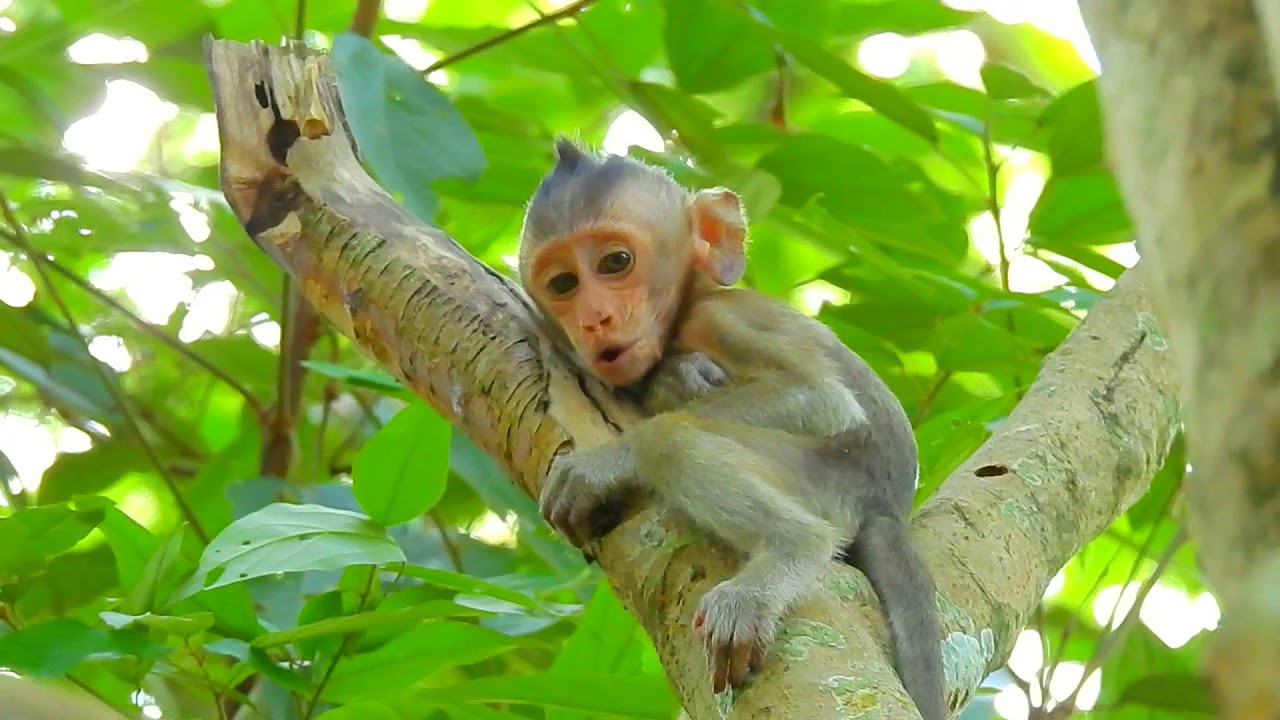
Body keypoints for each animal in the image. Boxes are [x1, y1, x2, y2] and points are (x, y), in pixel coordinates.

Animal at [517, 137, 946, 720]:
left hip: (825, 482)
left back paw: (782, 556)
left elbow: (821, 400)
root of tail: (888, 504)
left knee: (672, 442)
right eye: (562, 283)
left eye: (615, 262)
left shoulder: (720, 318)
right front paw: (668, 378)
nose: (595, 320)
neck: (688, 303)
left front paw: (607, 462)